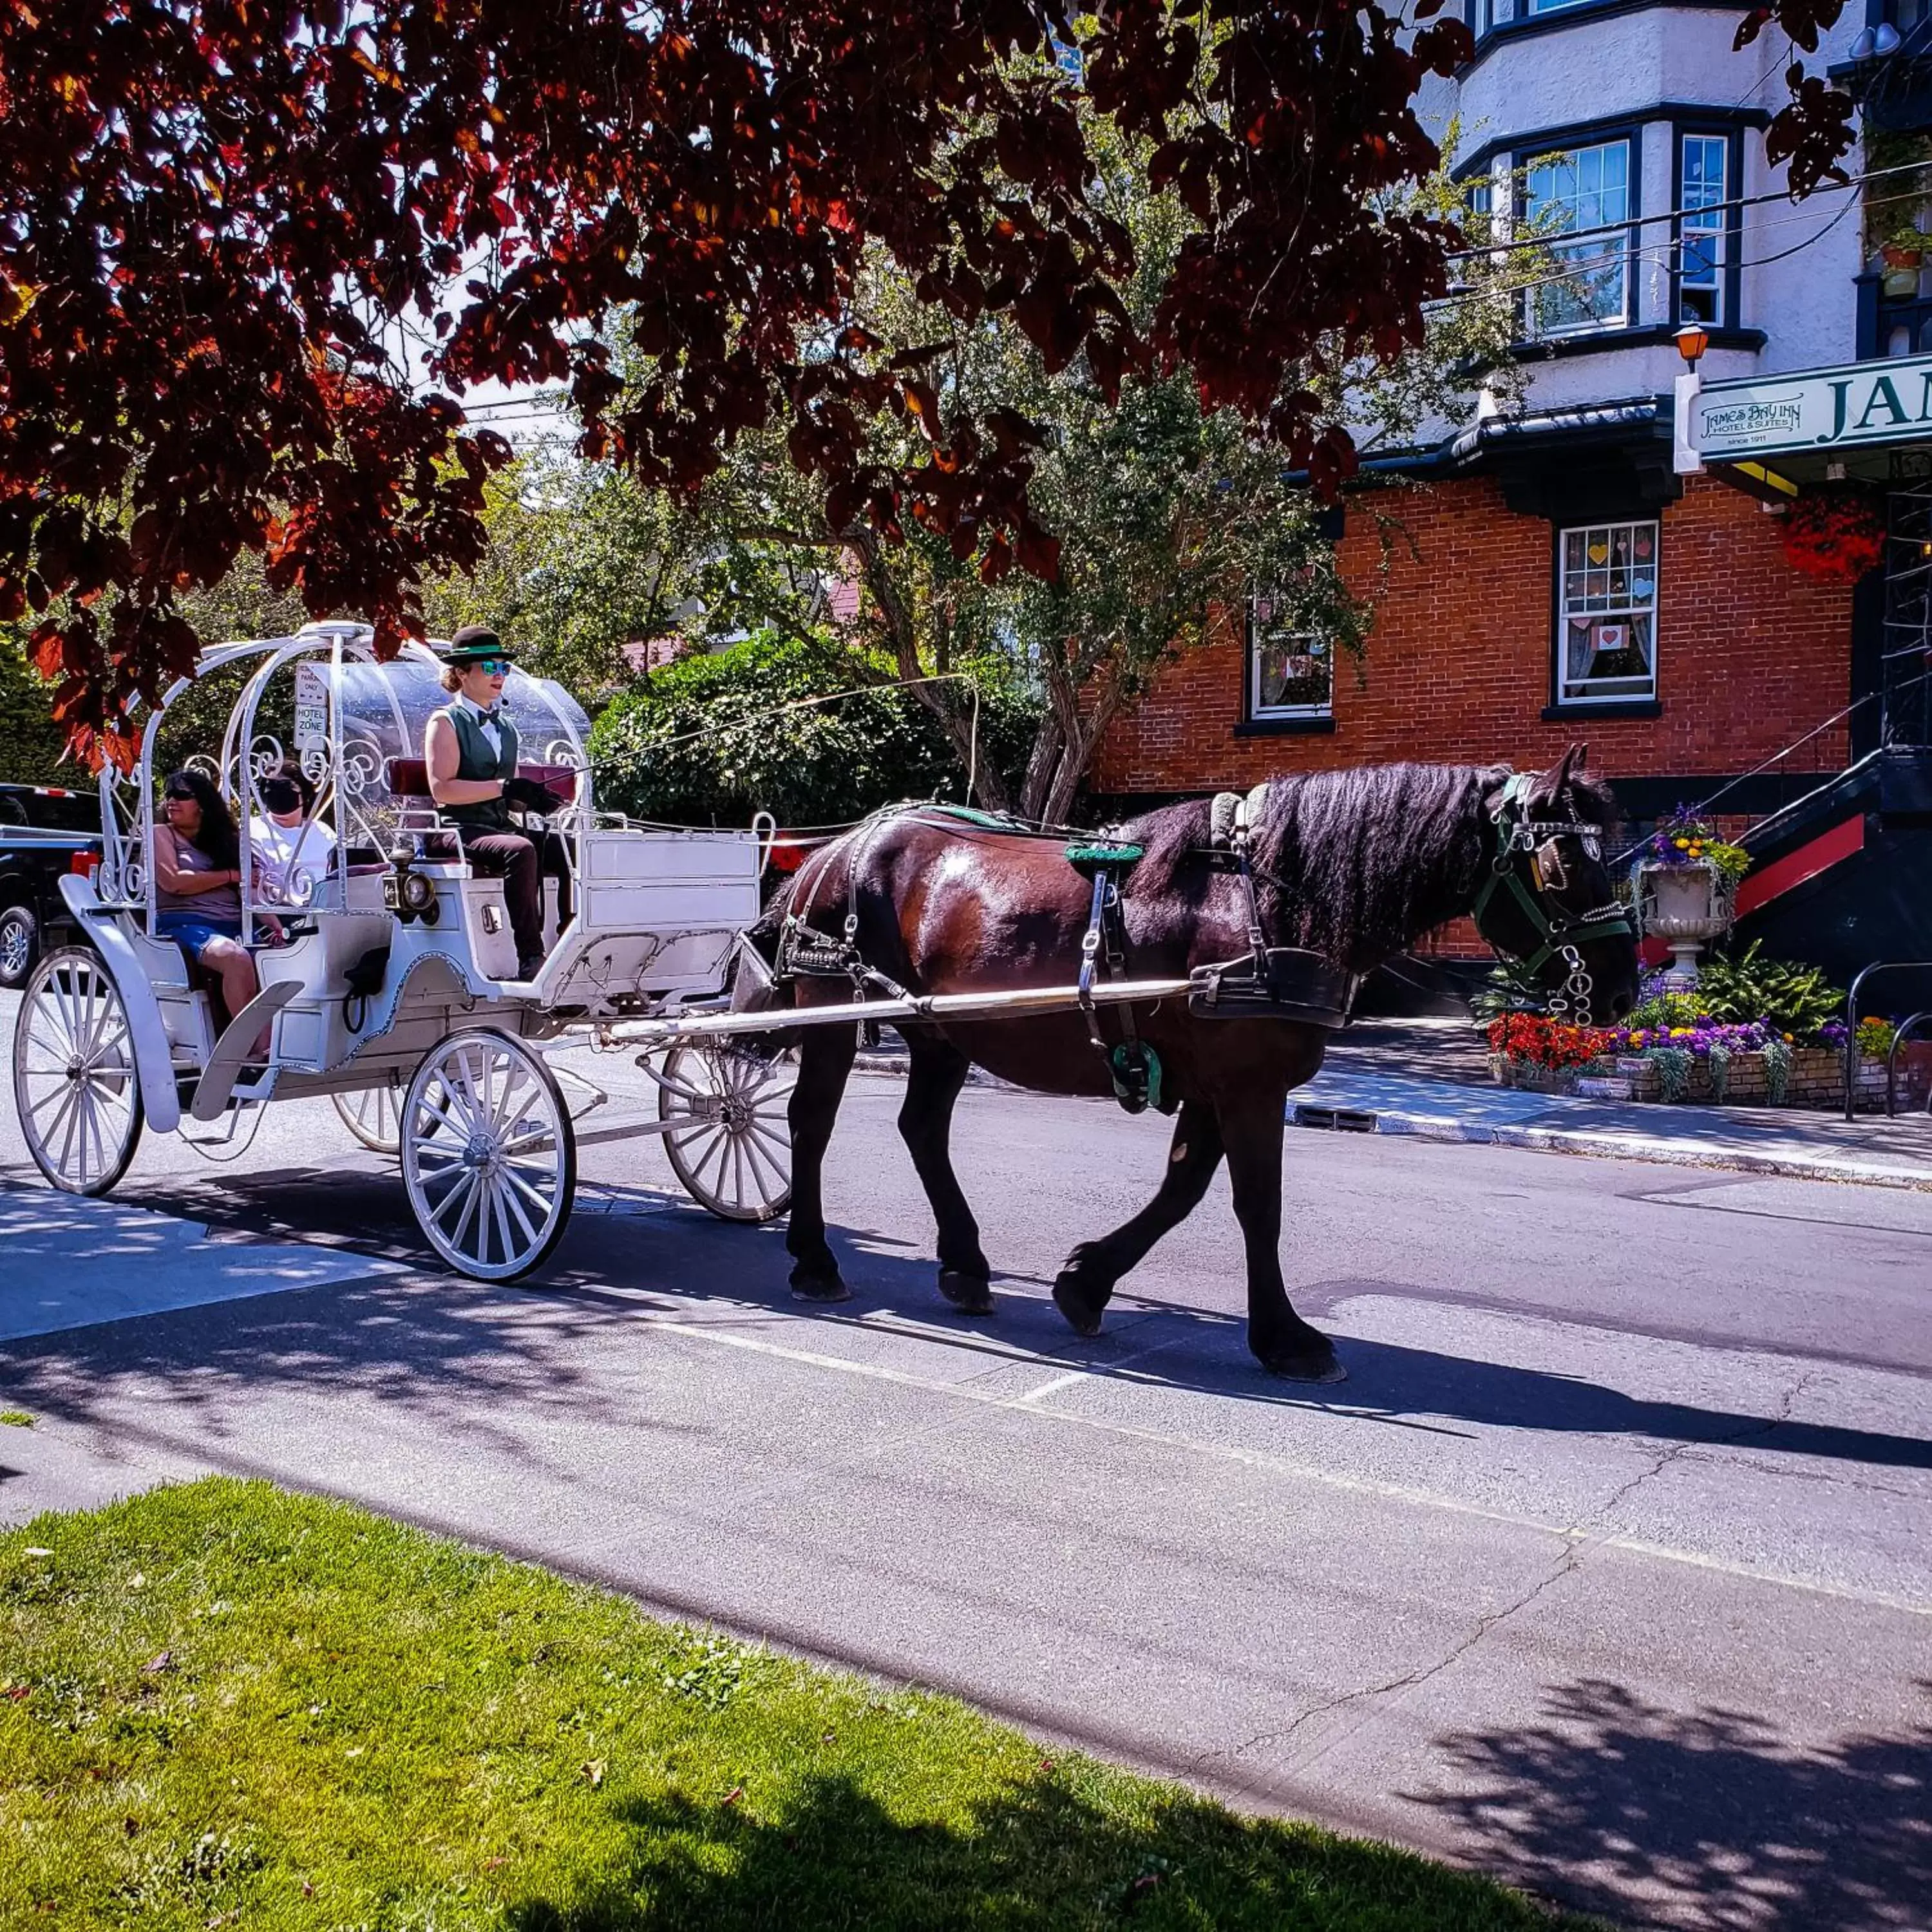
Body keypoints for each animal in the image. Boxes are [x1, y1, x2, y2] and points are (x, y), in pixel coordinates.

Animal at [746, 746, 1638, 1383]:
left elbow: (1182, 1190)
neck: (1267, 903)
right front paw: (1285, 1337)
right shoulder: (1249, 1086)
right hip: (834, 1008)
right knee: (811, 1123)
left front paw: (1087, 1281)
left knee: (921, 1129)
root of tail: (836, 849)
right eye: (1561, 867)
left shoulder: (1219, 1085)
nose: (1625, 988)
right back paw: (815, 1260)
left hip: (939, 1033)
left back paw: (964, 1265)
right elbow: (1256, 1206)